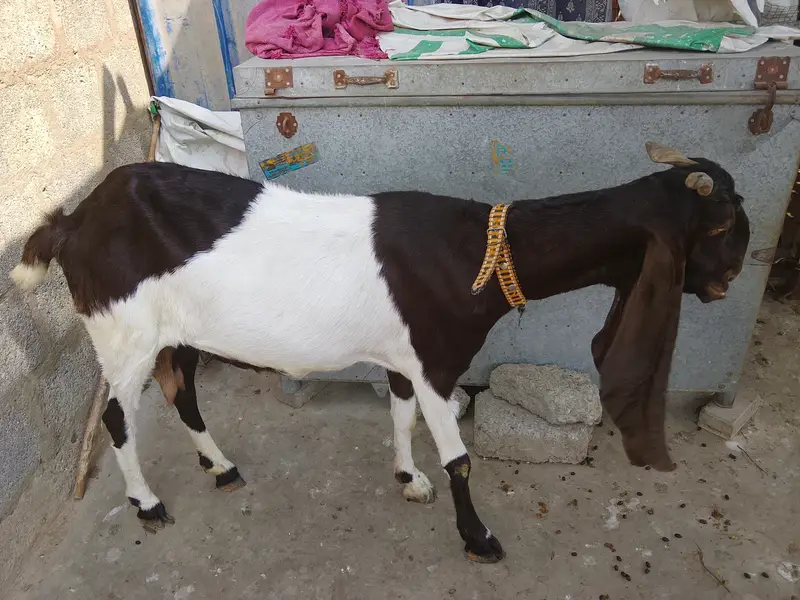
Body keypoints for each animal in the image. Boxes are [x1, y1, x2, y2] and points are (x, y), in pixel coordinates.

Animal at [11, 142, 749, 563]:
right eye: (718, 227)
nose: (732, 280)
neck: (475, 254)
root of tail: (73, 220)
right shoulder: (436, 361)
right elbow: (459, 457)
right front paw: (479, 539)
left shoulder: (406, 359)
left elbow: (401, 416)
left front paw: (408, 478)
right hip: (123, 334)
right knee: (118, 416)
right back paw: (147, 503)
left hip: (178, 335)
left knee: (181, 392)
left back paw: (220, 467)